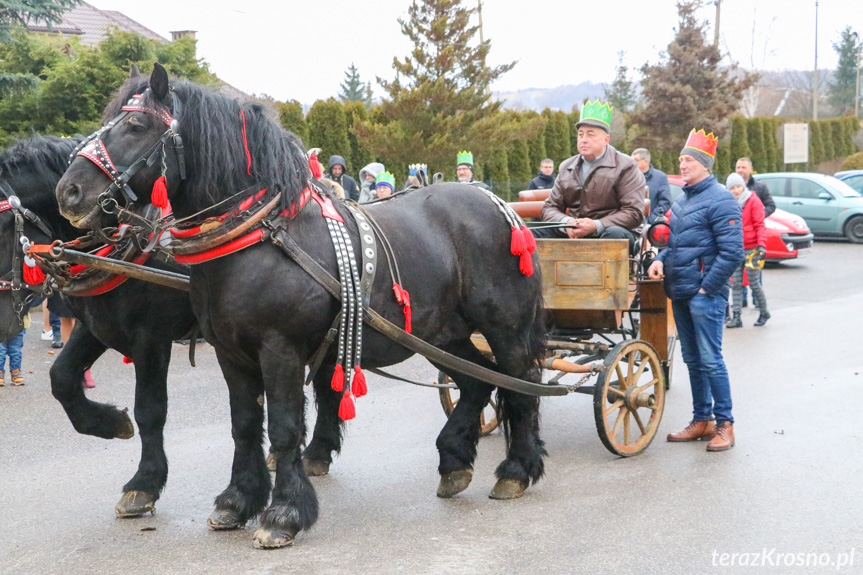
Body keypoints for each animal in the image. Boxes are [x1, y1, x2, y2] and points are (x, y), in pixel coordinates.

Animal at [0, 134, 197, 516]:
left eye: (1, 228)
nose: (4, 325)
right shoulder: (94, 326)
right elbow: (61, 378)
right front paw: (110, 423)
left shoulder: (151, 337)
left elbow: (150, 409)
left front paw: (144, 483)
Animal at [57, 63, 552, 548]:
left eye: (135, 126)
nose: (69, 191)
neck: (257, 238)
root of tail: (494, 200)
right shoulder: (229, 353)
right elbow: (244, 423)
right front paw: (237, 500)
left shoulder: (277, 349)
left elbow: (282, 426)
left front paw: (284, 513)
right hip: (443, 333)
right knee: (476, 382)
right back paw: (454, 462)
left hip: (503, 325)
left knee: (520, 381)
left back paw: (517, 470)